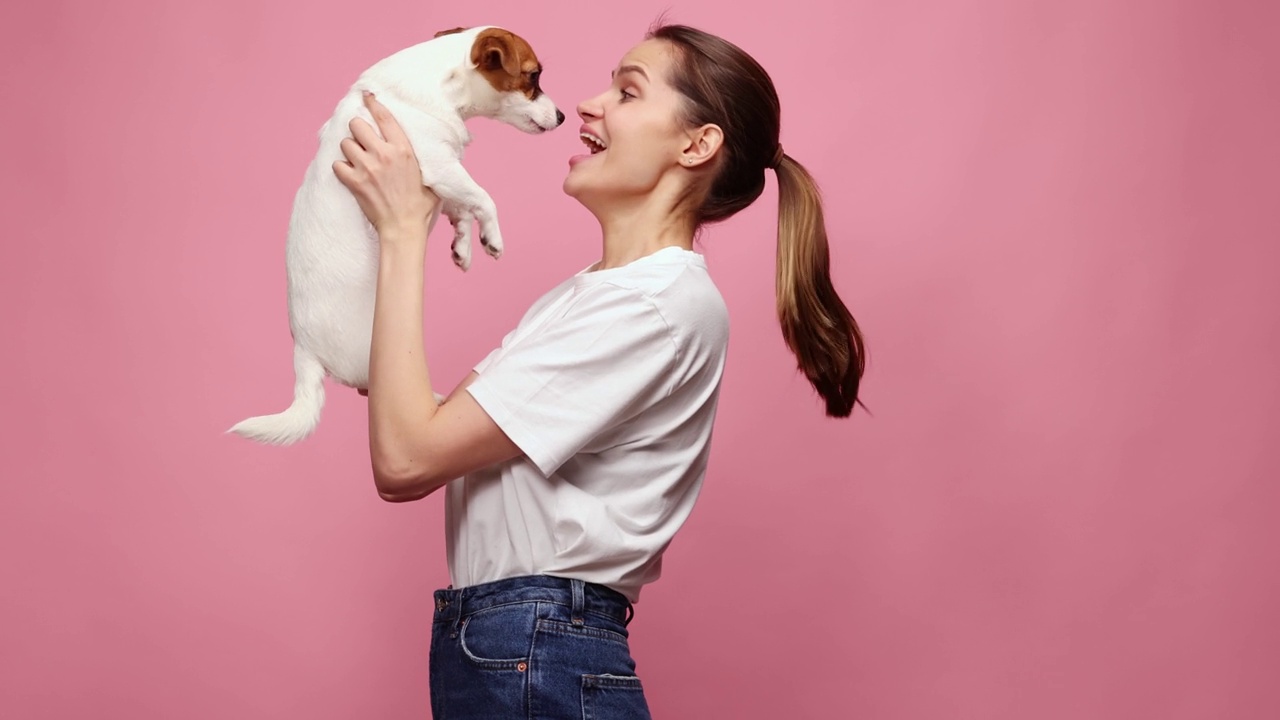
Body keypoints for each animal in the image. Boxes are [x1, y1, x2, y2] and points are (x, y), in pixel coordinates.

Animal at [232, 25, 563, 443]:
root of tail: (304, 352)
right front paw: (493, 238)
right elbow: (484, 198)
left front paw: (463, 246)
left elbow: (461, 208)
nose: (563, 116)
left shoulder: (441, 177)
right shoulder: (439, 163)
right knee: (371, 388)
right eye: (533, 77)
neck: (442, 84)